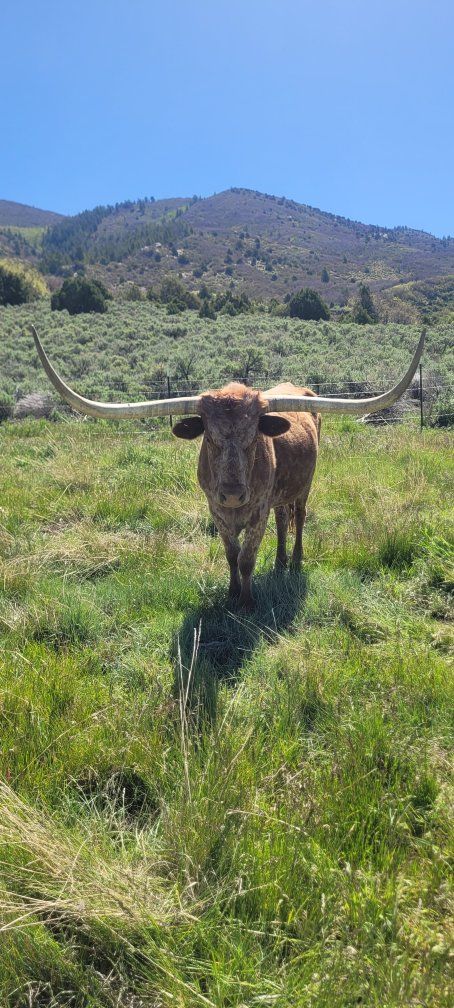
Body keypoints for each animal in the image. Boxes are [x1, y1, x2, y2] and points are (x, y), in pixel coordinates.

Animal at [31, 326, 424, 607]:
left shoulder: (257, 511)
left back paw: (295, 560)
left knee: (298, 518)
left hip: (304, 486)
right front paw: (233, 593)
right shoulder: (216, 511)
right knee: (283, 520)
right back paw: (280, 561)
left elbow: (248, 557)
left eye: (253, 437)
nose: (233, 494)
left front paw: (247, 601)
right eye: (211, 438)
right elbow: (232, 555)